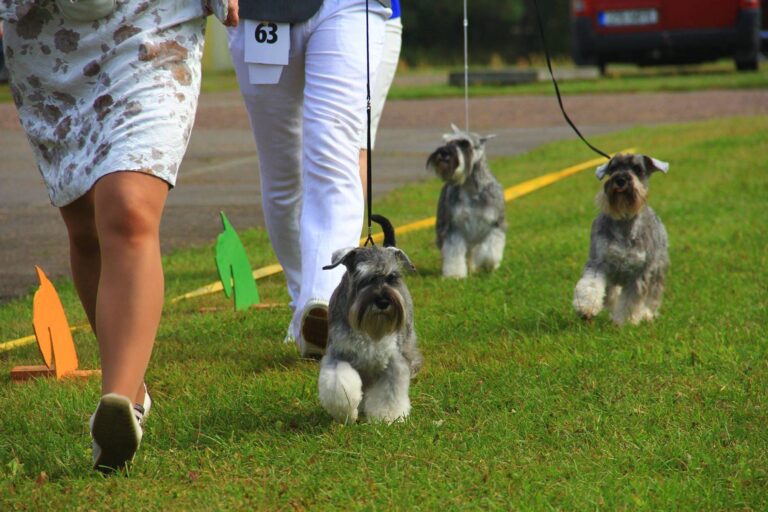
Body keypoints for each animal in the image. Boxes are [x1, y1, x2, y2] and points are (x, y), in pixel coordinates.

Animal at [320, 216, 426, 424]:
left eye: (392, 277)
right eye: (363, 278)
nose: (383, 302)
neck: (369, 328)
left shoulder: (394, 360)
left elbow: (390, 392)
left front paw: (388, 416)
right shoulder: (338, 355)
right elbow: (339, 384)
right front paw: (345, 412)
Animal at [428, 124, 508, 278]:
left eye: (464, 143)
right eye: (446, 142)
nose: (443, 153)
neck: (470, 188)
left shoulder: (495, 225)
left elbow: (490, 251)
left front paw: (487, 264)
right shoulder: (454, 227)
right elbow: (454, 252)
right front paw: (455, 275)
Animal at [572, 154, 668, 326]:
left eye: (638, 169)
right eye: (613, 168)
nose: (621, 179)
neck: (624, 220)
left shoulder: (639, 273)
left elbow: (631, 300)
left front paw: (626, 321)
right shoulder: (598, 262)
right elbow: (591, 285)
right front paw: (586, 307)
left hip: (657, 271)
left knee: (652, 297)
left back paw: (647, 314)